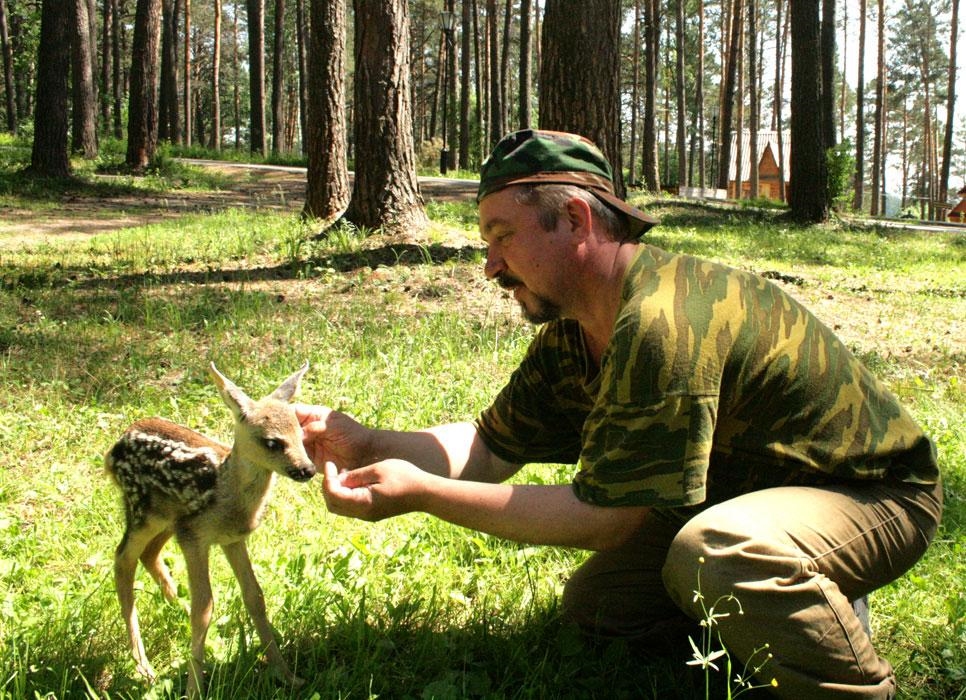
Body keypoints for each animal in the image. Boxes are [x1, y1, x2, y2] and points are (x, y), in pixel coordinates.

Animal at [106, 364, 318, 696]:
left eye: (301, 433)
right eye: (272, 442)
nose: (307, 470)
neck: (226, 494)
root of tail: (113, 449)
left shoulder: (231, 539)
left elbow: (255, 597)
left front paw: (287, 674)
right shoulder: (195, 537)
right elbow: (204, 608)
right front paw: (194, 689)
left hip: (167, 519)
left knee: (148, 555)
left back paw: (175, 609)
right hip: (141, 510)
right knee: (123, 559)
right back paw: (144, 667)